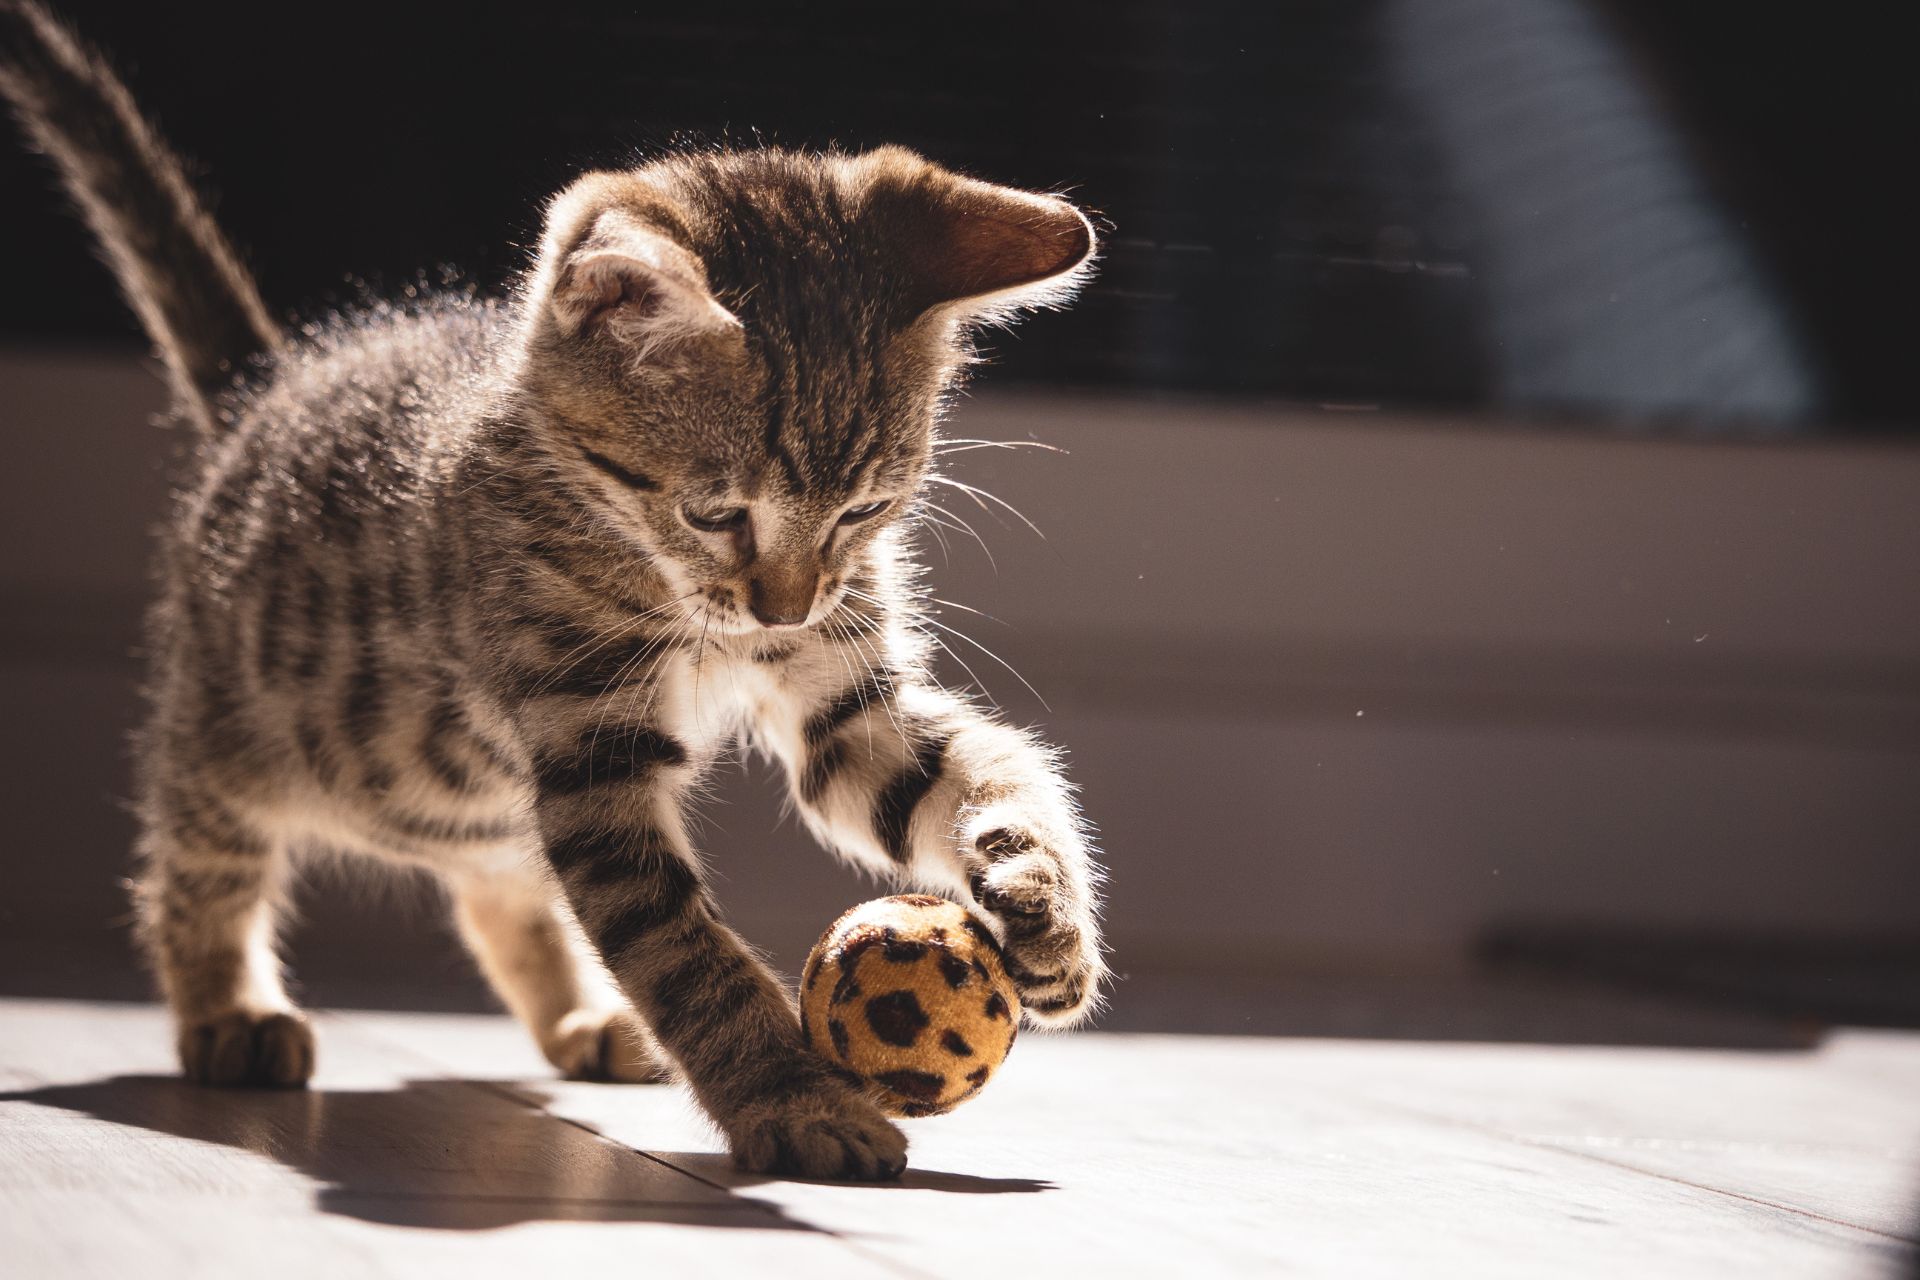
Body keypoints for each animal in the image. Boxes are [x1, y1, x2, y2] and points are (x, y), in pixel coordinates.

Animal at [3, 0, 1113, 1182]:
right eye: (717, 513)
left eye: (862, 511)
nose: (785, 607)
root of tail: (270, 395)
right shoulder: (590, 749)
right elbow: (678, 946)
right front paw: (792, 1098)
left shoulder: (845, 704)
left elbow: (975, 770)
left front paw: (1043, 906)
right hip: (233, 734)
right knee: (196, 858)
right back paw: (226, 1009)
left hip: (475, 800)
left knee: (501, 885)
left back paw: (583, 1019)